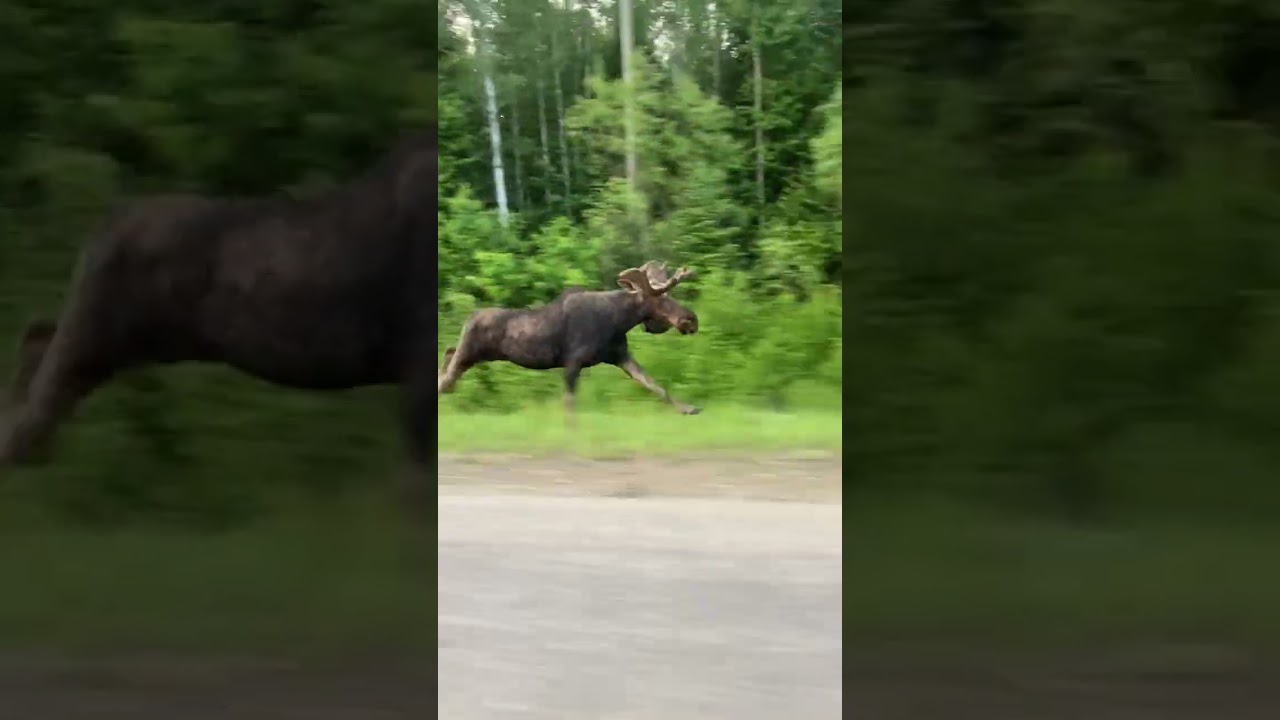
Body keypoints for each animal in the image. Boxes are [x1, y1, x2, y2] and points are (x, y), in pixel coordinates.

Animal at [437, 261, 702, 419]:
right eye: (661, 299)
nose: (691, 319)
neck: (619, 320)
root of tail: (469, 318)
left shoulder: (619, 356)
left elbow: (654, 385)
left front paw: (689, 408)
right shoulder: (573, 361)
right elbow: (569, 403)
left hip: (473, 355)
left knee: (448, 355)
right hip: (469, 351)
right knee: (446, 374)